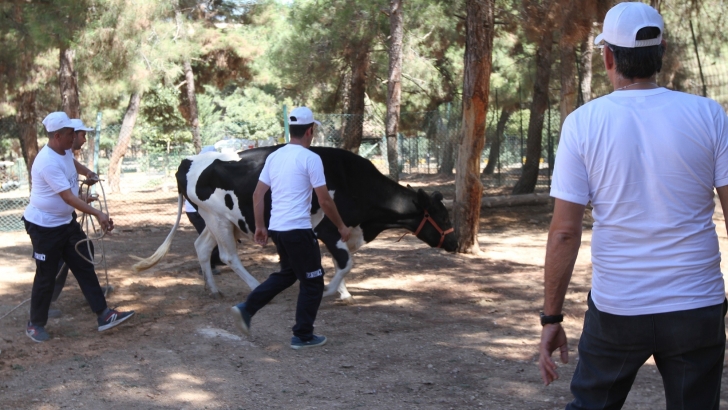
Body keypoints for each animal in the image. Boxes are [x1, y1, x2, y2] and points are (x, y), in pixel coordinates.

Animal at [132, 145, 456, 302]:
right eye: (442, 216)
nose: (455, 243)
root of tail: (189, 161)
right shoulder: (327, 228)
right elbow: (345, 262)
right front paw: (333, 291)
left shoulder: (346, 232)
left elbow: (343, 261)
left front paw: (343, 291)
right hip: (218, 218)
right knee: (227, 255)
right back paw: (254, 286)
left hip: (219, 220)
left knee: (201, 247)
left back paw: (213, 290)